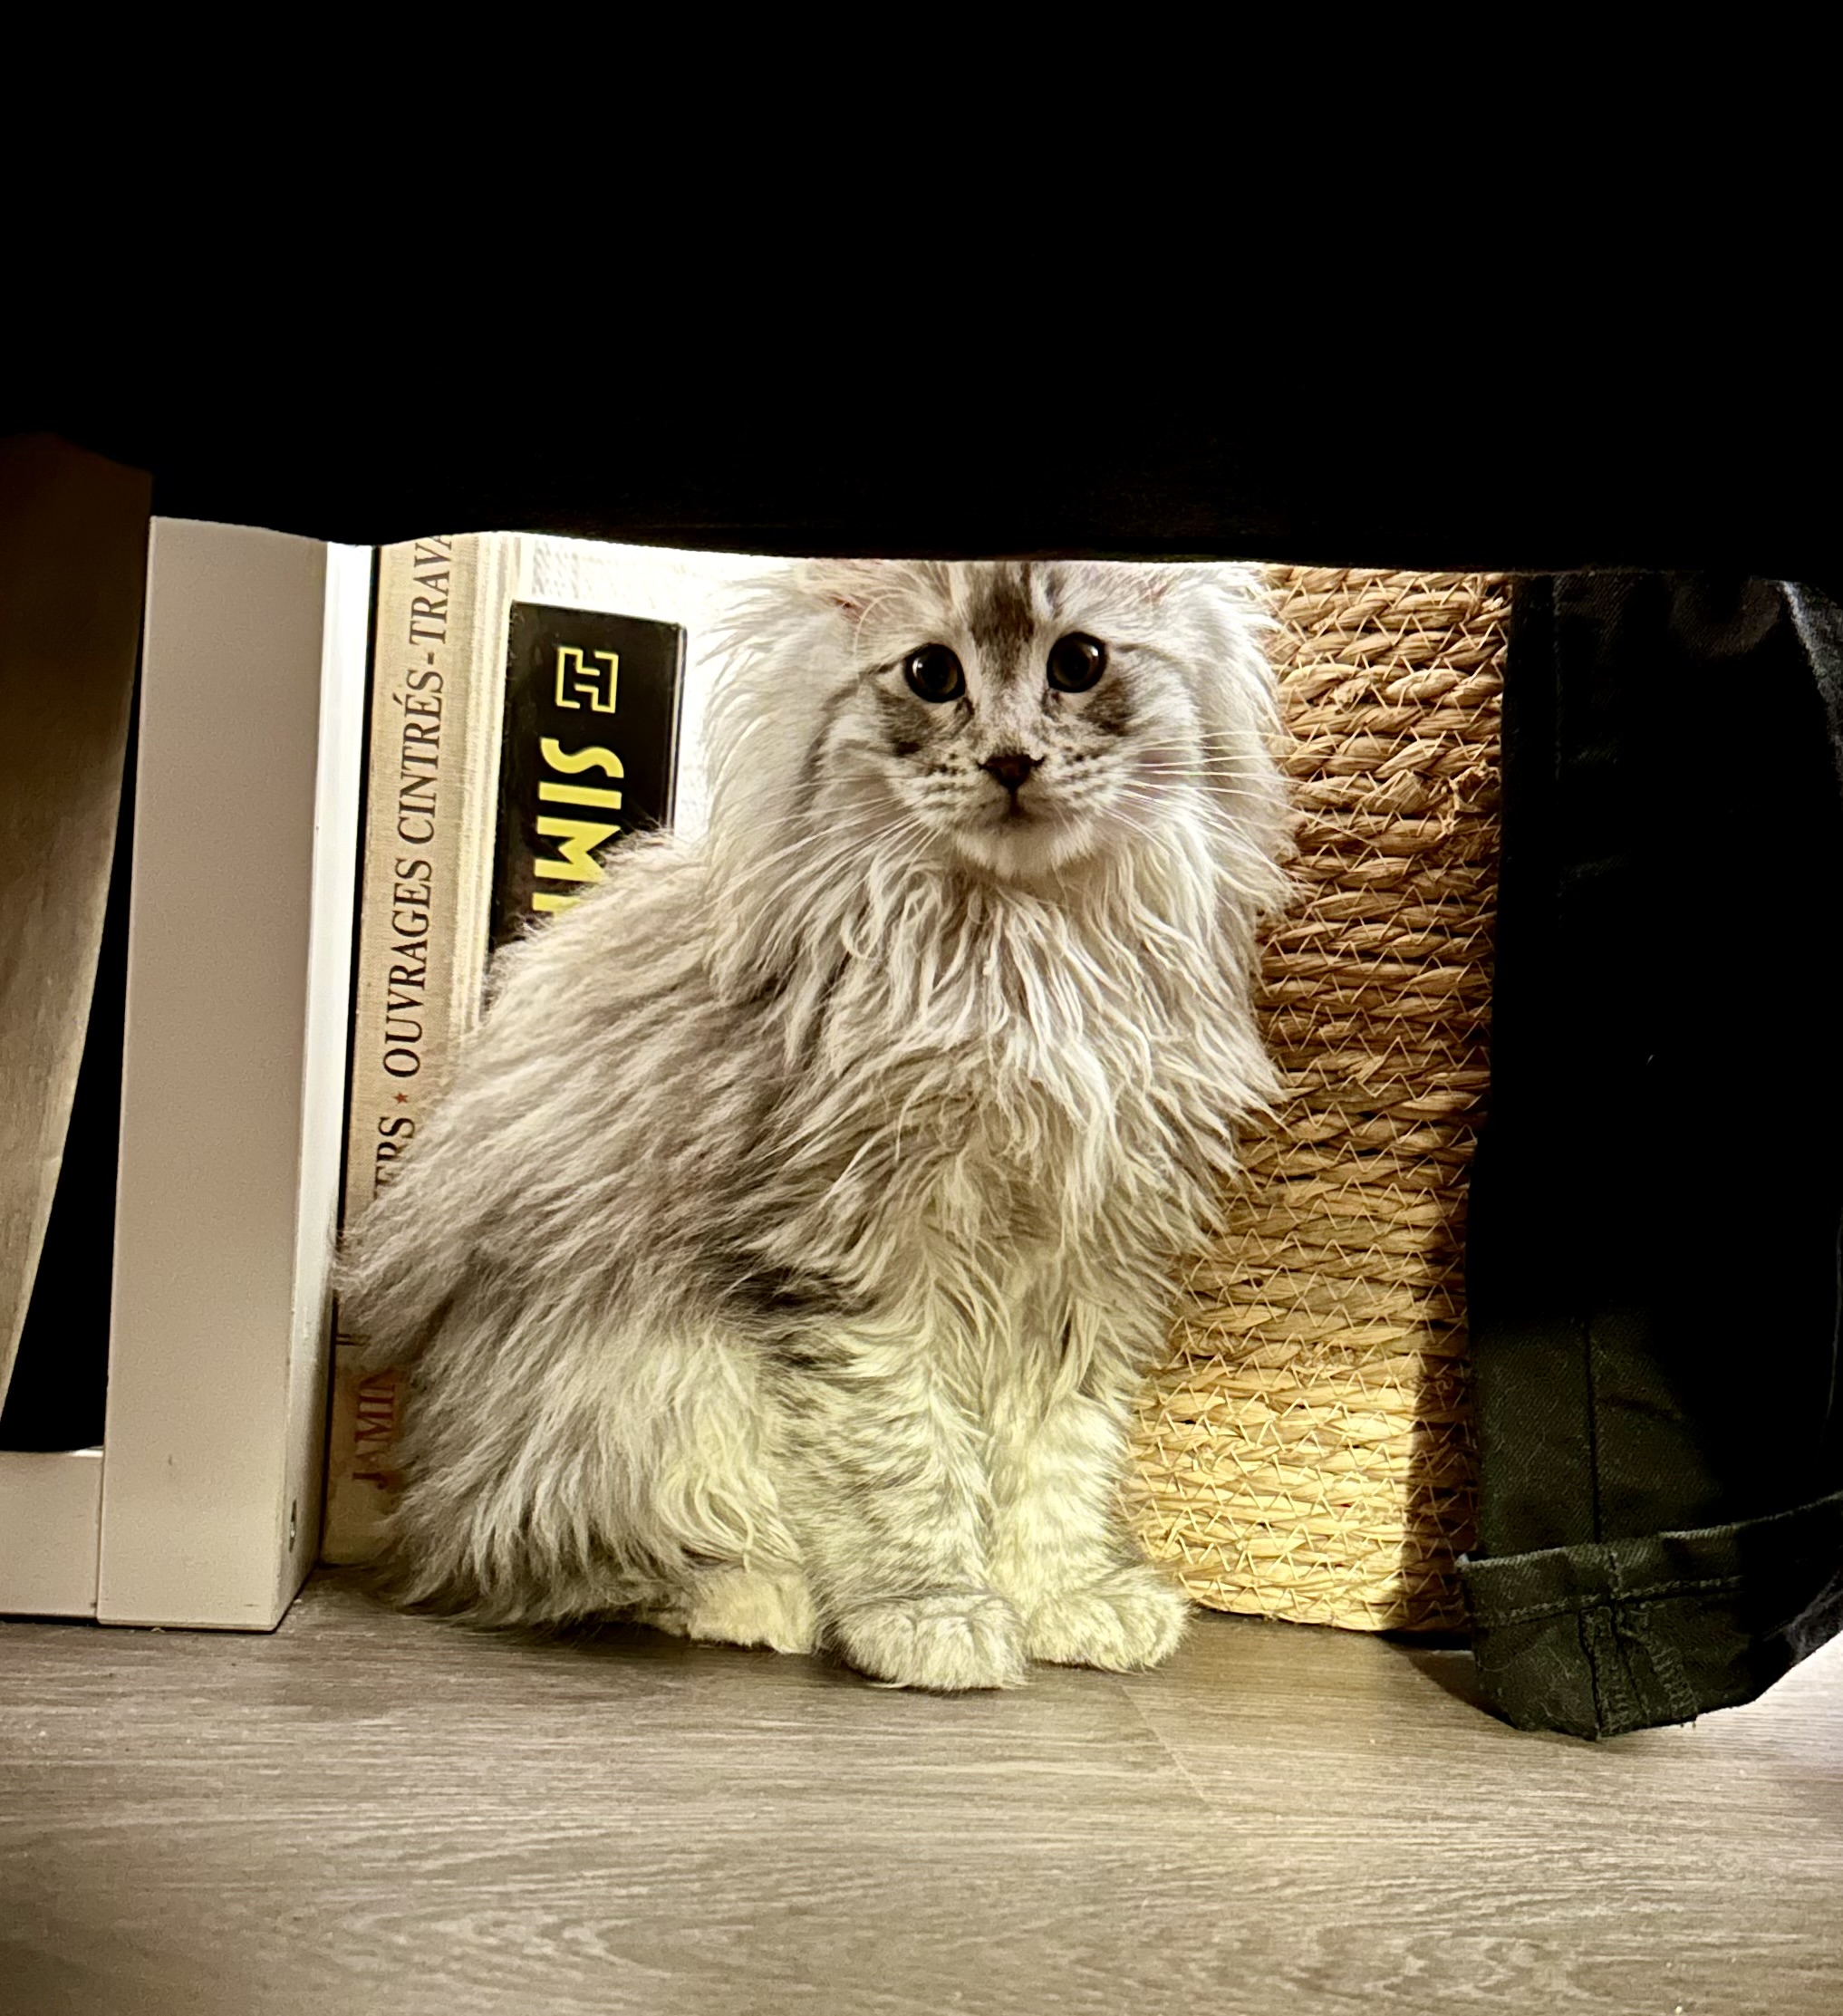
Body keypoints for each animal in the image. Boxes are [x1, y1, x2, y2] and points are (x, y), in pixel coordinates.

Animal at [337, 557, 1291, 1690]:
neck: (1024, 958)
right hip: (639, 1397)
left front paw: (1064, 1597)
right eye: (931, 674)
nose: (1011, 759)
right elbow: (903, 1461)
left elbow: (1058, 1459)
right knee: (551, 1560)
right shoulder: (855, 1261)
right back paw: (758, 1599)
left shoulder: (1087, 1263)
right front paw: (931, 1612)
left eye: (1080, 661)